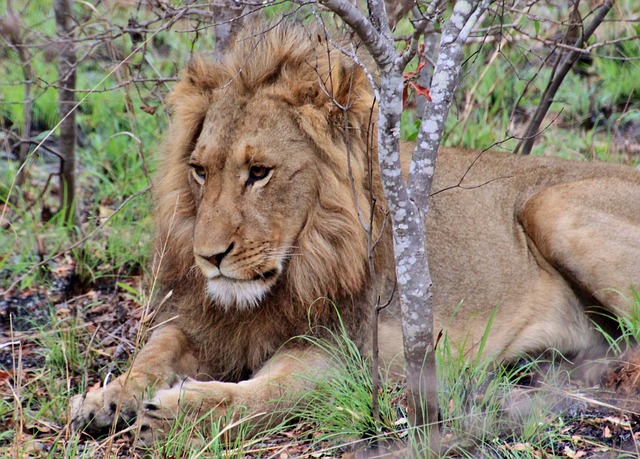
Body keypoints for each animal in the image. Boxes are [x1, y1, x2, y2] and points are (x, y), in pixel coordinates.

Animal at [70, 22, 640, 446]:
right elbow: (155, 348)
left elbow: (266, 395)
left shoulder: (347, 357)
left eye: (259, 172)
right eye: (199, 170)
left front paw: (175, 414)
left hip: (551, 204)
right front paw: (106, 398)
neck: (304, 258)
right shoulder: (207, 322)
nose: (208, 257)